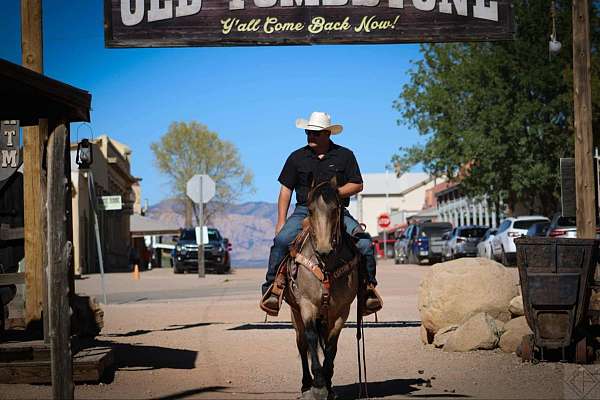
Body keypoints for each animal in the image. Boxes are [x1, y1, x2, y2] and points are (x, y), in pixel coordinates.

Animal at [284, 180, 360, 400]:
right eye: (310, 210)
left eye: (336, 209)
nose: (324, 249)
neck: (326, 266)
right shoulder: (306, 305)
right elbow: (311, 338)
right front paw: (318, 383)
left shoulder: (341, 310)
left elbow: (331, 344)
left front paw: (328, 382)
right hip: (295, 314)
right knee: (302, 344)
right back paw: (305, 384)